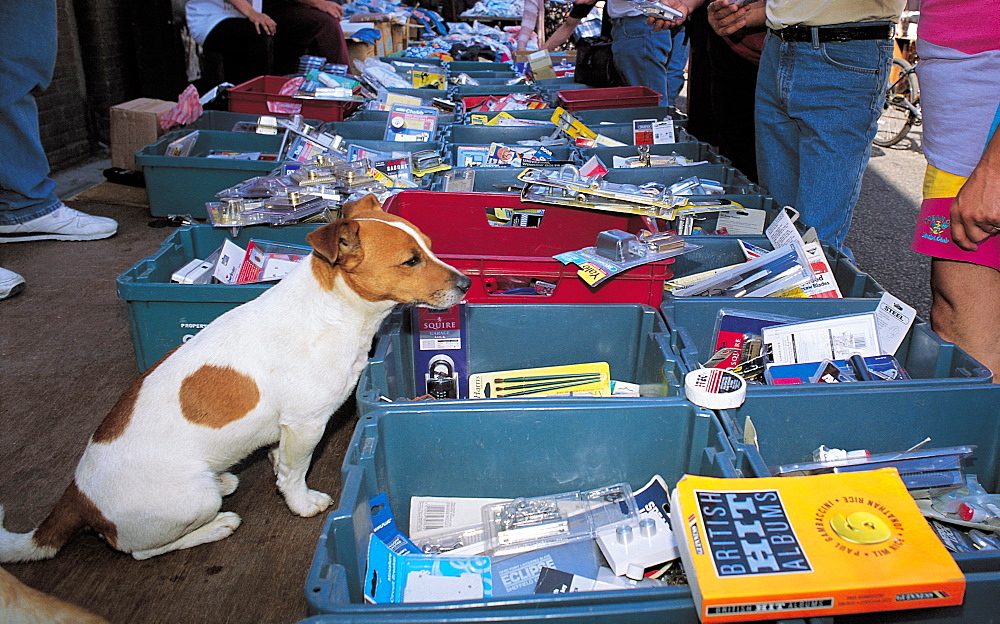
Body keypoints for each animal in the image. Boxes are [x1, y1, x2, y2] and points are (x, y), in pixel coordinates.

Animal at [0, 195, 472, 560]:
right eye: (410, 260)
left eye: (430, 246)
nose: (467, 283)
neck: (333, 310)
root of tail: (78, 498)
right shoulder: (305, 424)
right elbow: (295, 472)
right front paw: (301, 502)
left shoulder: (286, 430)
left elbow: (279, 461)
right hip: (190, 500)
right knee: (140, 550)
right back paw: (215, 525)